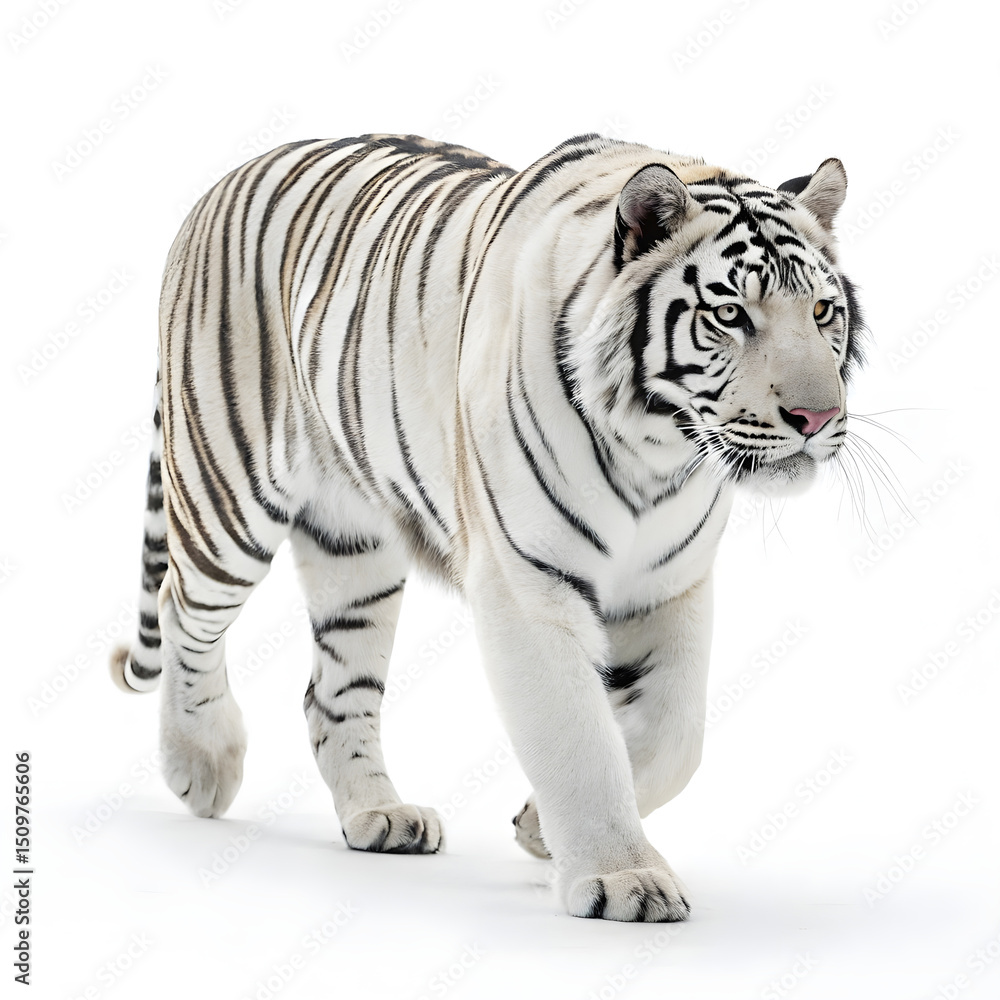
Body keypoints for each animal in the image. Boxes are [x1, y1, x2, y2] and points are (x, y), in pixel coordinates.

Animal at [110, 132, 865, 923]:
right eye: (731, 316)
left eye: (821, 310)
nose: (816, 418)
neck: (660, 455)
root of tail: (226, 179)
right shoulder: (528, 585)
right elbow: (576, 734)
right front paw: (624, 879)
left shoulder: (671, 587)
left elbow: (675, 737)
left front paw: (538, 827)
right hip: (231, 498)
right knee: (182, 609)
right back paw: (200, 764)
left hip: (356, 552)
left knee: (333, 692)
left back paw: (379, 816)